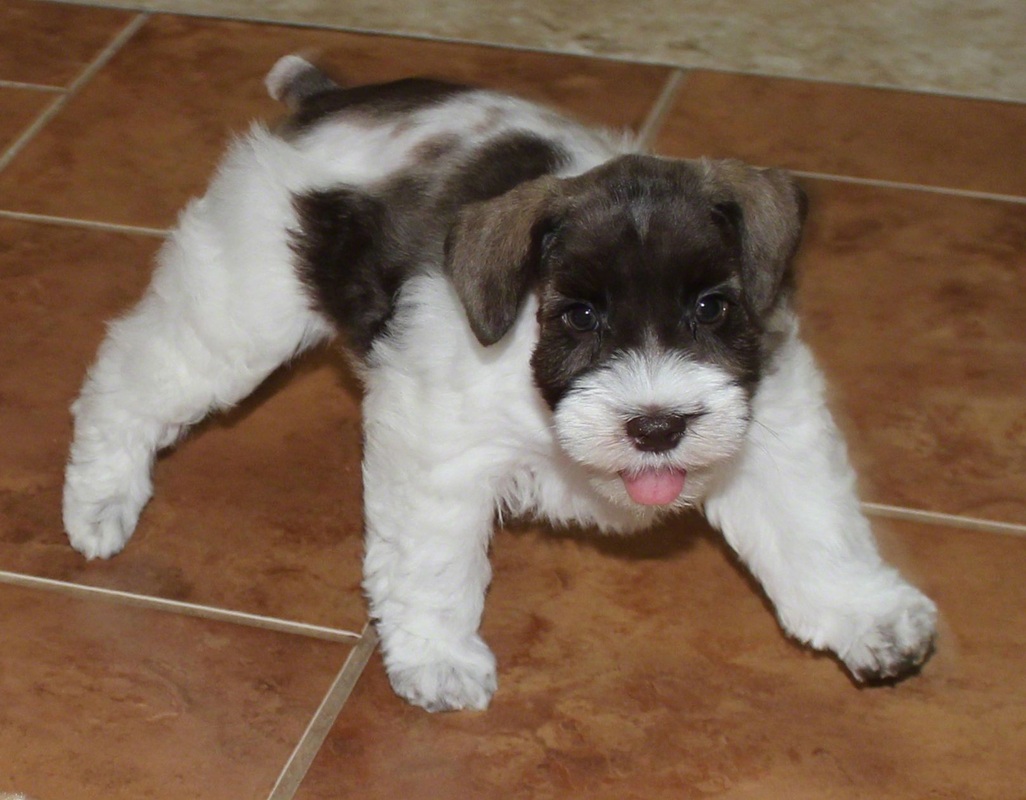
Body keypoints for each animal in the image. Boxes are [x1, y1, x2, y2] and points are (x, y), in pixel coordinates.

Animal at [60, 56, 935, 713]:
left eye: (711, 307)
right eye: (578, 314)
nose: (656, 427)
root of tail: (325, 99)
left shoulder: (771, 421)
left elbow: (815, 528)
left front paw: (869, 617)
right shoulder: (436, 446)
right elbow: (432, 562)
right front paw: (439, 659)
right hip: (240, 312)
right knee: (131, 370)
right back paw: (100, 501)